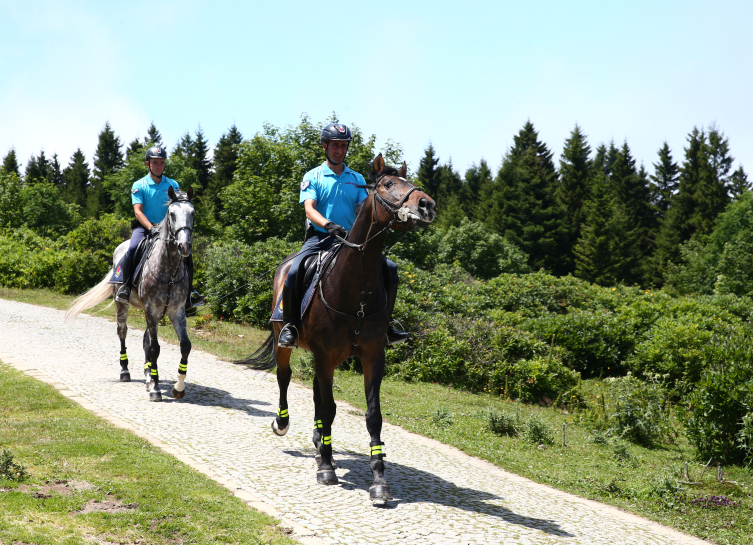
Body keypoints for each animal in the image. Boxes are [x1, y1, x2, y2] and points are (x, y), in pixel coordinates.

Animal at [65, 187, 194, 400]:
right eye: (172, 214)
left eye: (192, 213)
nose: (184, 246)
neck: (168, 270)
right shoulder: (151, 309)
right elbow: (155, 348)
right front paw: (156, 389)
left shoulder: (176, 311)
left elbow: (184, 345)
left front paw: (178, 387)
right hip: (122, 304)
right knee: (122, 332)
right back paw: (126, 371)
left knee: (146, 339)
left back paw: (148, 374)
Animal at [241, 153, 438, 502]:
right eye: (388, 184)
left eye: (409, 182)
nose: (427, 204)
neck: (353, 287)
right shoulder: (324, 356)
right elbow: (328, 408)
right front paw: (326, 468)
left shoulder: (371, 357)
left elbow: (371, 415)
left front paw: (378, 480)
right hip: (284, 341)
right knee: (285, 378)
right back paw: (285, 424)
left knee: (317, 394)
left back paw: (320, 441)